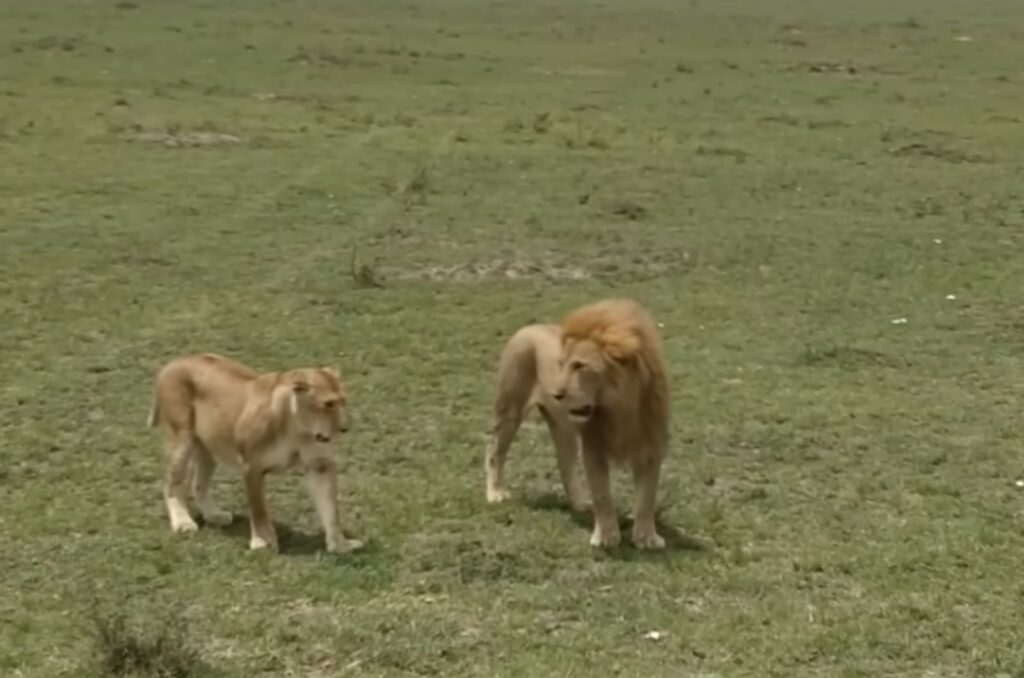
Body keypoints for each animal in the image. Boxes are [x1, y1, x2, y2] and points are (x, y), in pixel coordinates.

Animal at [148, 352, 364, 557]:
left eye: (343, 401)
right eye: (328, 404)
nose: (345, 428)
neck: (297, 429)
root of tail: (175, 361)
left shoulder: (321, 466)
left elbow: (331, 511)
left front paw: (340, 545)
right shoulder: (252, 467)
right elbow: (259, 509)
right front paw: (263, 542)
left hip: (209, 447)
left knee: (199, 483)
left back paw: (215, 515)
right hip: (182, 439)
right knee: (171, 484)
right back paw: (183, 523)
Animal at [485, 301, 671, 548]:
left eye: (579, 366)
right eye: (562, 365)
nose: (555, 394)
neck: (621, 408)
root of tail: (527, 328)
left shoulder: (650, 449)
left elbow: (647, 498)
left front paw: (646, 538)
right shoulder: (594, 448)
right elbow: (602, 494)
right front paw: (606, 538)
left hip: (562, 429)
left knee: (565, 464)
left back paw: (580, 502)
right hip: (510, 410)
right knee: (494, 451)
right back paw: (496, 492)